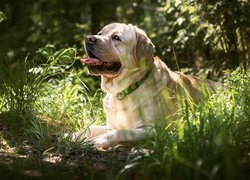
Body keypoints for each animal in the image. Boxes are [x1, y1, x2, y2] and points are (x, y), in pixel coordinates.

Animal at [73, 22, 220, 148]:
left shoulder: (154, 130)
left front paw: (96, 141)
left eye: (116, 37)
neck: (123, 90)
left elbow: (121, 132)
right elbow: (90, 128)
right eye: (100, 33)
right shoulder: (110, 126)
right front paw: (72, 136)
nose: (89, 38)